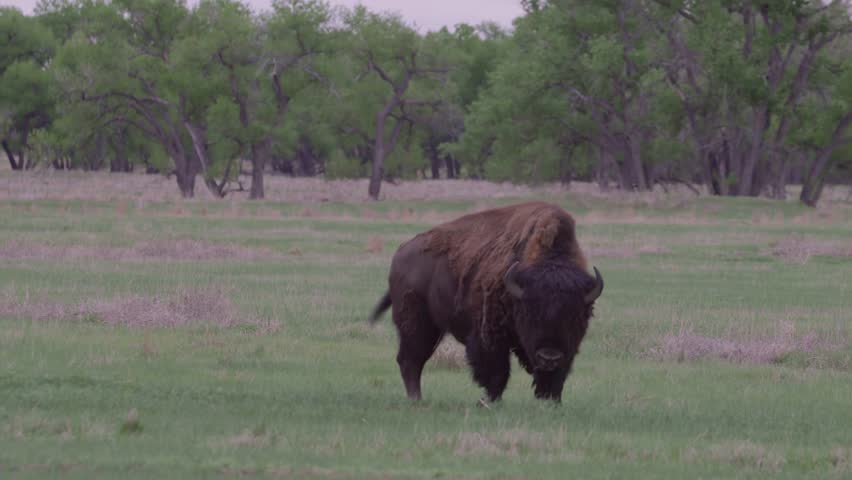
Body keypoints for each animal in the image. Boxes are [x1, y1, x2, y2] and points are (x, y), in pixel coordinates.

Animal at [369, 201, 603, 403]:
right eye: (529, 314)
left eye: (575, 317)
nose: (549, 356)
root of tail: (400, 253)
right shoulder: (489, 336)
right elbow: (497, 372)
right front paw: (490, 401)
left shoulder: (567, 349)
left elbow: (556, 376)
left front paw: (551, 401)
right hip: (417, 325)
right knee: (411, 360)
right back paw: (416, 399)